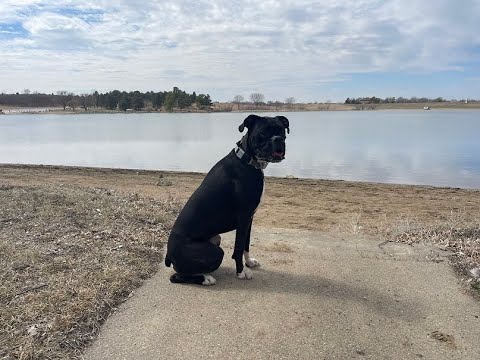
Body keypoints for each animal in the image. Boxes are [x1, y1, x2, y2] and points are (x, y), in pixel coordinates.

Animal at [163, 114, 290, 286]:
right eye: (263, 132)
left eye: (281, 131)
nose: (278, 139)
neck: (247, 160)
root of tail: (168, 255)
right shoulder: (243, 218)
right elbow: (238, 248)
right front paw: (241, 272)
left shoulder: (249, 219)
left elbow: (246, 244)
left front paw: (249, 263)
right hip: (216, 252)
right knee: (176, 276)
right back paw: (205, 278)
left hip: (216, 238)